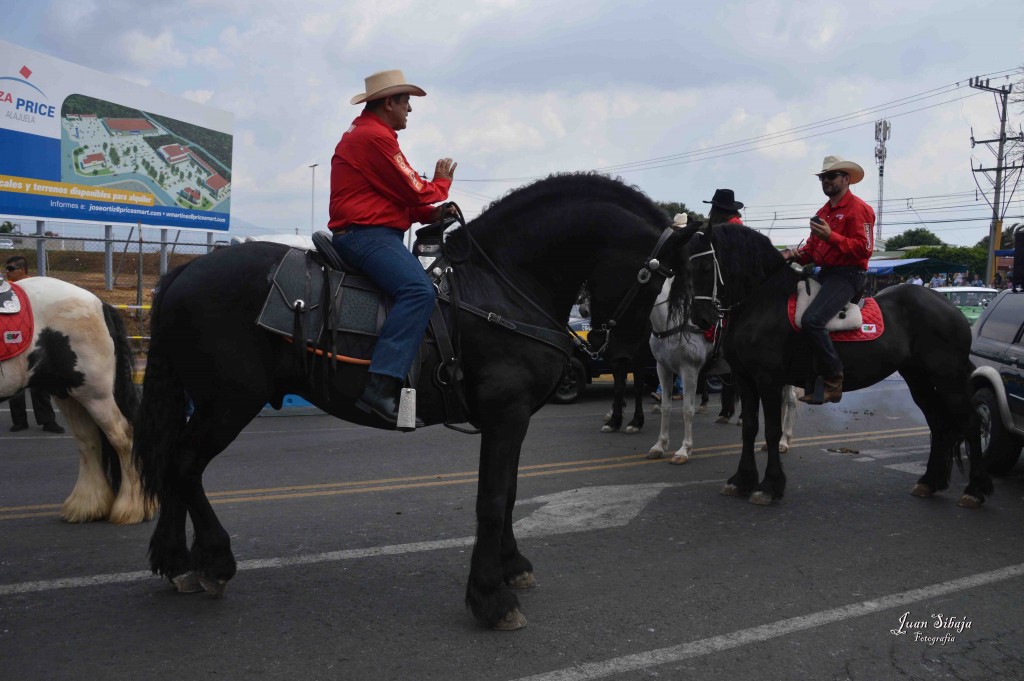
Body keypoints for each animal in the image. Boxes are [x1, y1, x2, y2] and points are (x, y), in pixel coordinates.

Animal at [0, 276, 152, 520]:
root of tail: (99, 304)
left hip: (96, 395)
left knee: (122, 436)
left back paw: (132, 508)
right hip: (68, 394)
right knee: (88, 440)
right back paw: (87, 505)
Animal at [132, 173, 684, 630]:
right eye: (656, 276)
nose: (636, 354)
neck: (502, 285)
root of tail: (182, 274)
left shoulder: (515, 419)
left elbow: (507, 495)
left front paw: (512, 567)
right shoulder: (505, 414)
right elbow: (490, 501)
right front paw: (490, 596)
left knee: (172, 464)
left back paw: (178, 561)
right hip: (228, 403)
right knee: (184, 465)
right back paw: (214, 560)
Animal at [647, 278, 798, 464]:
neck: (675, 325)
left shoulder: (689, 371)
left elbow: (687, 410)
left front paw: (684, 450)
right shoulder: (663, 369)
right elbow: (666, 407)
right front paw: (659, 446)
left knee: (791, 400)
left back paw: (784, 442)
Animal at [675, 220, 995, 507]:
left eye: (706, 268)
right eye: (685, 270)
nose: (701, 319)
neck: (762, 302)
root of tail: (951, 308)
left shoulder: (769, 380)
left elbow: (772, 431)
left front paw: (769, 486)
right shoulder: (745, 378)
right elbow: (750, 428)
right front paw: (741, 480)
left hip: (948, 377)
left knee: (969, 422)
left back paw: (976, 489)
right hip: (918, 378)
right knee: (939, 424)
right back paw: (930, 482)